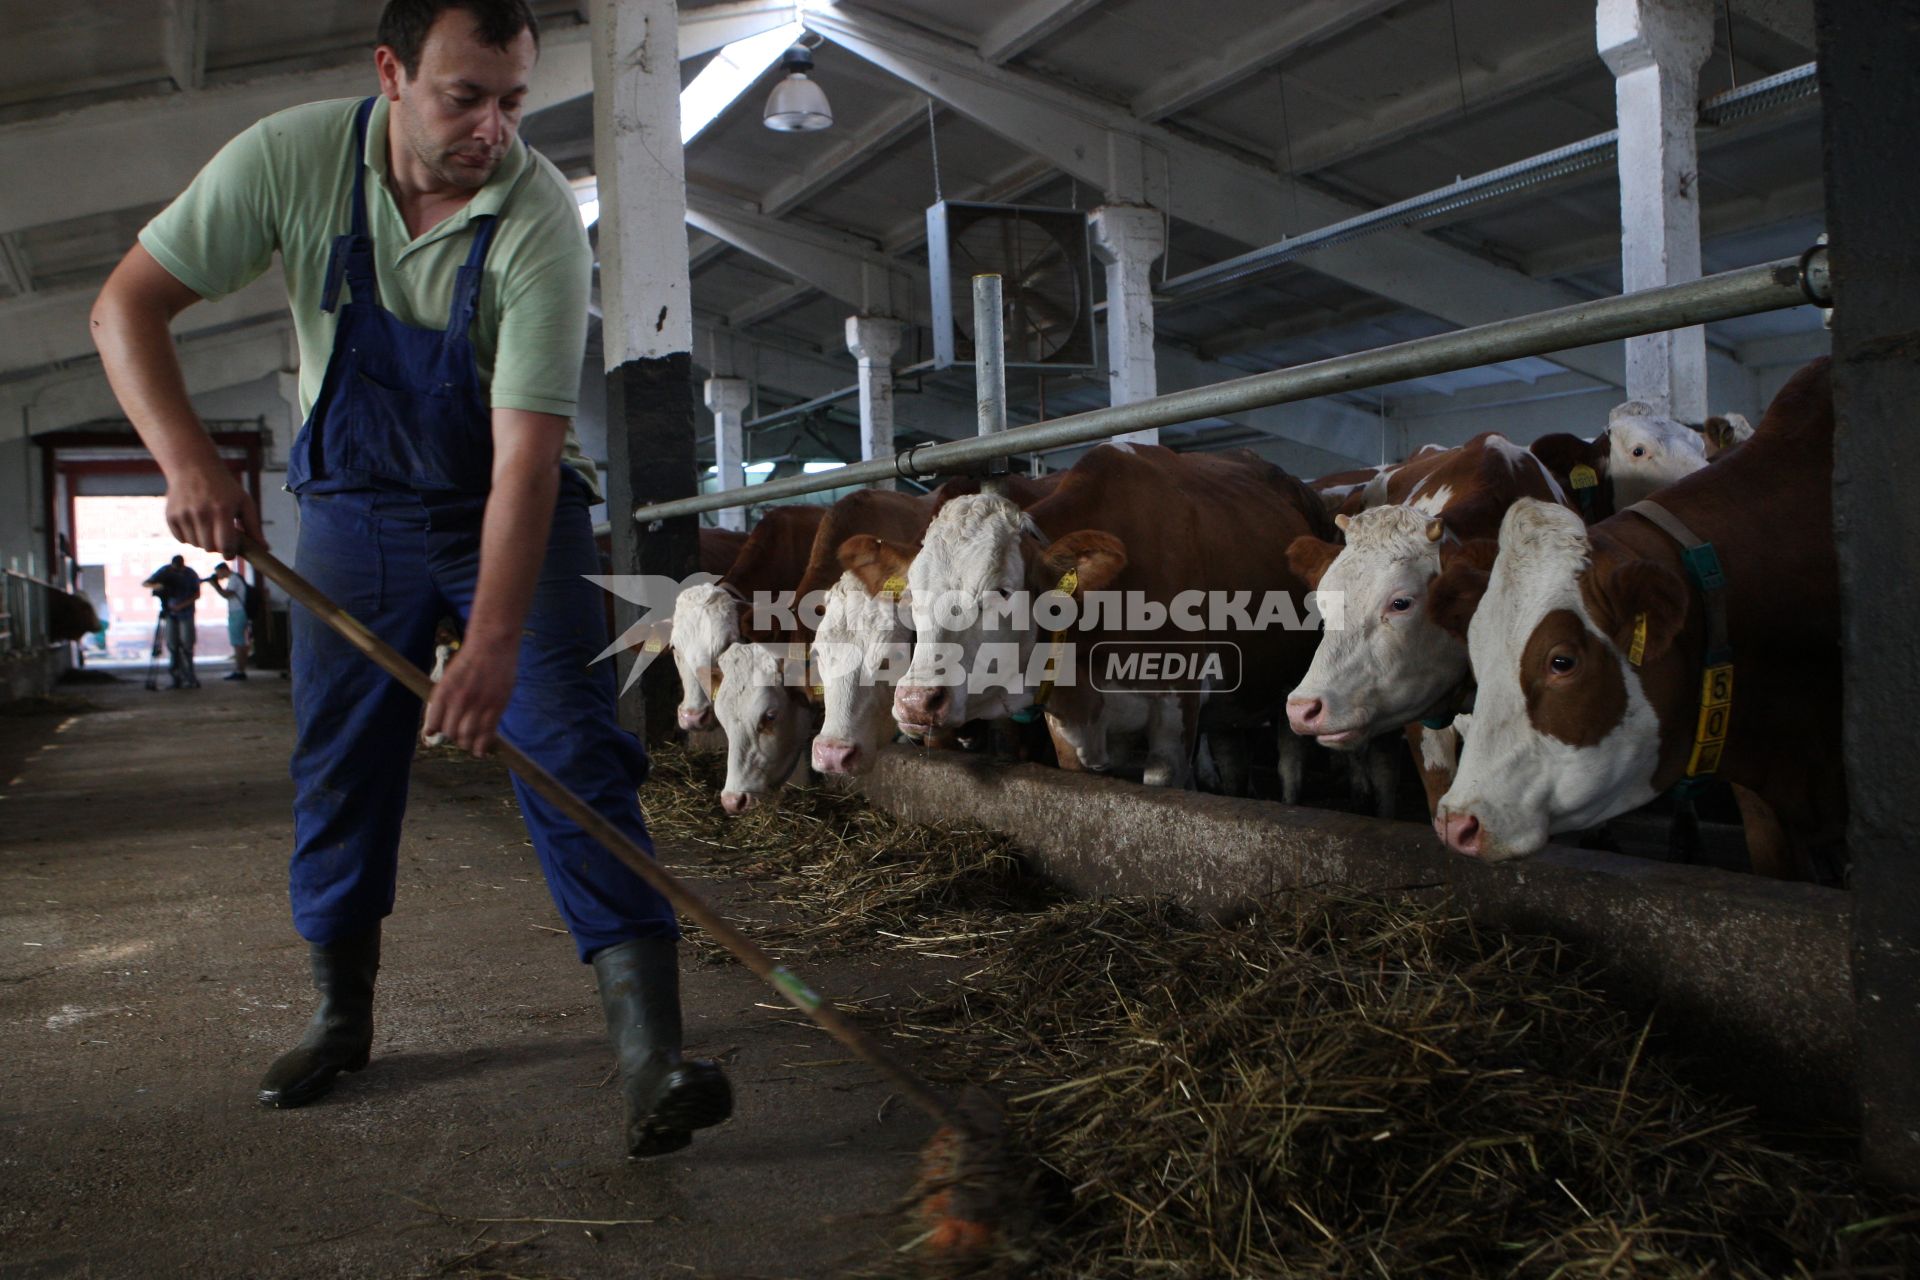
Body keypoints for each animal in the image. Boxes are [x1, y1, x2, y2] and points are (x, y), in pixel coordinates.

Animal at [890, 445, 1328, 794]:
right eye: (912, 596)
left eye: (1001, 590)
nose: (915, 701)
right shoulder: (1068, 724)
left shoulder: (1177, 710)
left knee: (1290, 766)